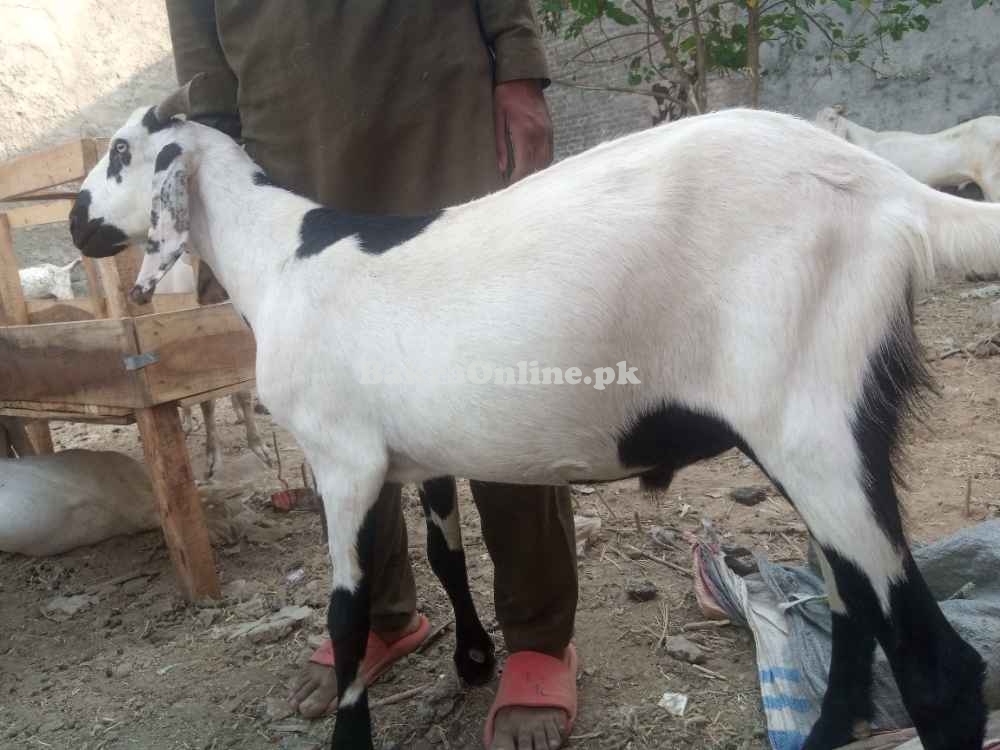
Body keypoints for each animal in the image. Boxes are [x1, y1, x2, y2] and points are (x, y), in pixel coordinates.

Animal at [153, 253, 272, 482]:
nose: (209, 292)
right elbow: (207, 402)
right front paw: (212, 459)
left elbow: (243, 391)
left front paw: (258, 446)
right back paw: (187, 424)